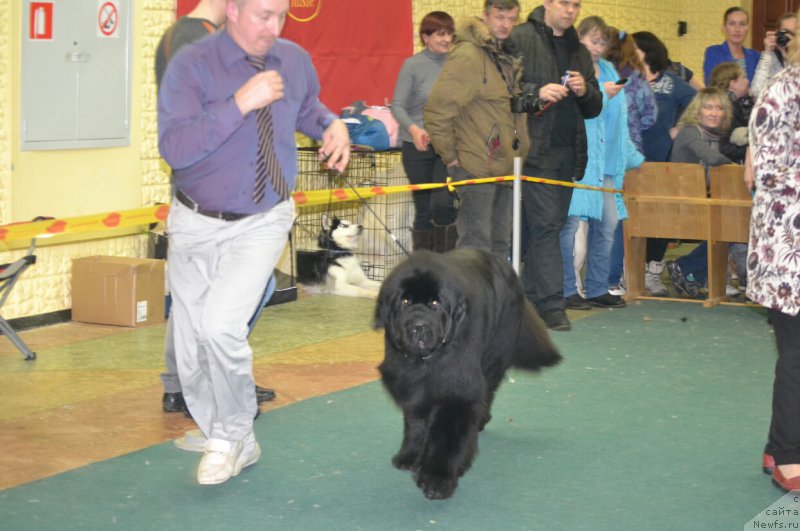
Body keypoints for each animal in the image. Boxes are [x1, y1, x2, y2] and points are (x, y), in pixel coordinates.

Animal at [376, 248, 564, 498]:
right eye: (405, 301)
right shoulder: (411, 385)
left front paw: (437, 479)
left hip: (494, 353)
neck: (427, 361)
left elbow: (446, 436)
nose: (418, 326)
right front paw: (409, 455)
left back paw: (481, 421)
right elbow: (415, 422)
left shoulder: (456, 391)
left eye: (435, 303)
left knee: (488, 391)